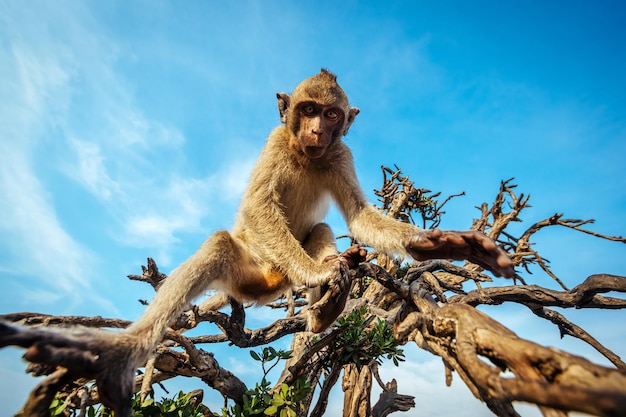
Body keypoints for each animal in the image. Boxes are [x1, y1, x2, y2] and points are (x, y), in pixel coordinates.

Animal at [0, 68, 512, 412]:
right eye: (307, 110)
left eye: (331, 114)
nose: (316, 129)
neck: (305, 155)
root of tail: (269, 281)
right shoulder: (274, 142)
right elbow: (257, 209)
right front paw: (318, 274)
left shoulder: (340, 153)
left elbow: (360, 218)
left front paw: (436, 244)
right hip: (247, 275)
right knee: (221, 246)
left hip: (276, 280)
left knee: (322, 230)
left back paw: (325, 305)